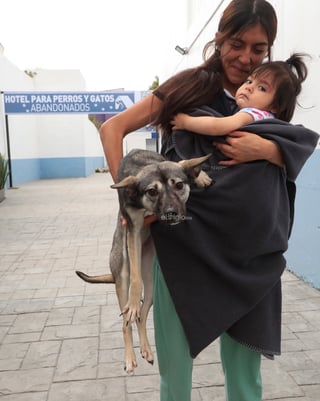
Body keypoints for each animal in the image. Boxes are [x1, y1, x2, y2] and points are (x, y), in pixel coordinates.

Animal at [75, 149, 212, 372]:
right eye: (152, 192)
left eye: (179, 185)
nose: (171, 214)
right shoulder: (133, 229)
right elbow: (135, 283)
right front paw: (132, 304)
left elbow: (184, 162)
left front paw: (200, 175)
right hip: (122, 275)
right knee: (126, 322)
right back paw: (130, 357)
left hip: (152, 288)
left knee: (140, 317)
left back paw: (146, 349)